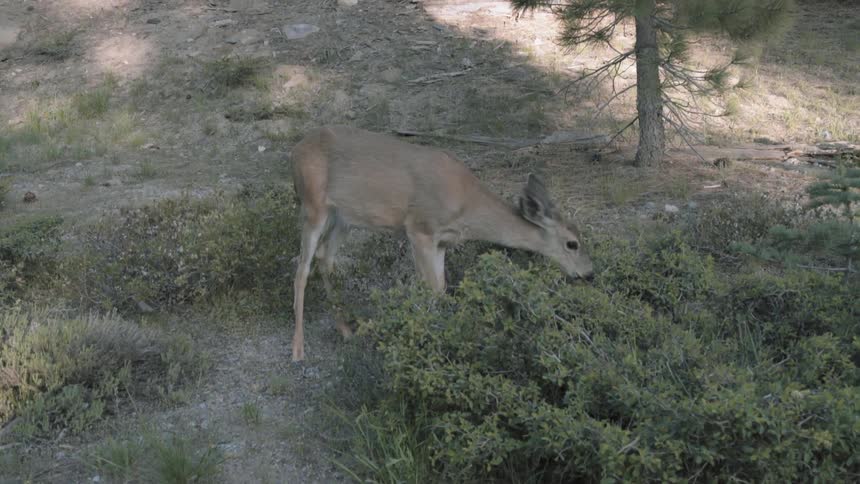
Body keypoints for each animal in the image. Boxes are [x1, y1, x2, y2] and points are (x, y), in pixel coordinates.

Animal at [290, 125, 594, 362]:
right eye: (572, 244)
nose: (589, 273)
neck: (466, 205)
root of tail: (296, 148)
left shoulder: (442, 243)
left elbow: (442, 287)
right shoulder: (420, 229)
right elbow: (432, 290)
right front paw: (431, 345)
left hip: (344, 218)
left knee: (325, 259)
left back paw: (346, 331)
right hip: (313, 205)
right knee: (302, 269)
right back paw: (298, 350)